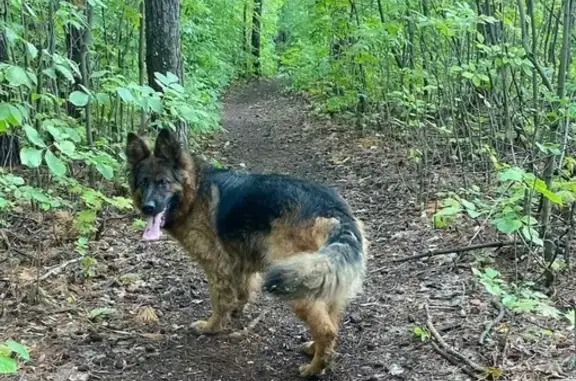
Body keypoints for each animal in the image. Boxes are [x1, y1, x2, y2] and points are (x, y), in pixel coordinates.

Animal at [126, 128, 368, 378]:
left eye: (163, 182)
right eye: (144, 182)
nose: (148, 207)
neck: (194, 191)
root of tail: (334, 211)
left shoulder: (217, 266)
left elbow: (219, 300)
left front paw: (212, 327)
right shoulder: (239, 262)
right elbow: (242, 290)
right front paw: (236, 310)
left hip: (297, 282)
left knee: (326, 329)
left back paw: (314, 367)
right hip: (324, 281)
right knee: (332, 320)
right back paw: (314, 349)